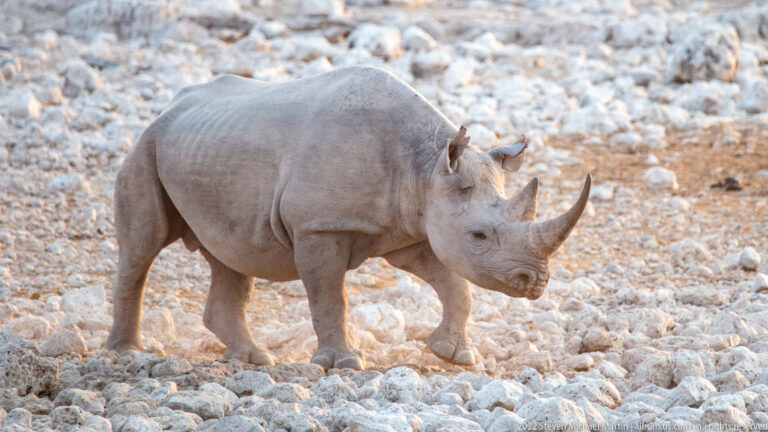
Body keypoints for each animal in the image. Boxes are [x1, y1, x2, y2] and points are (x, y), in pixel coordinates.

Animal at [105, 66, 590, 370]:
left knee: (229, 254)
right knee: (144, 243)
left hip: (210, 148)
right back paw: (126, 355)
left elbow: (456, 287)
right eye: (479, 235)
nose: (536, 283)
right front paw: (343, 363)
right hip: (147, 144)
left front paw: (453, 355)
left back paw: (252, 359)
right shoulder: (319, 225)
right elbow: (330, 297)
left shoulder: (415, 228)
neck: (425, 166)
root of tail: (169, 108)